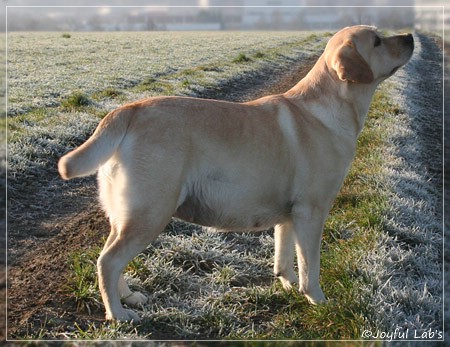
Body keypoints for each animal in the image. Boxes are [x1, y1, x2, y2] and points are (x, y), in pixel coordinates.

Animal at [58, 25, 414, 322]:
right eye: (377, 41)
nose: (411, 36)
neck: (330, 106)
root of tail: (127, 110)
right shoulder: (312, 211)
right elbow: (310, 265)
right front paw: (317, 299)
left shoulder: (289, 213)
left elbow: (284, 253)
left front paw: (286, 284)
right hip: (150, 213)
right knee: (108, 262)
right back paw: (118, 314)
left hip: (127, 215)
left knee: (111, 258)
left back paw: (129, 297)